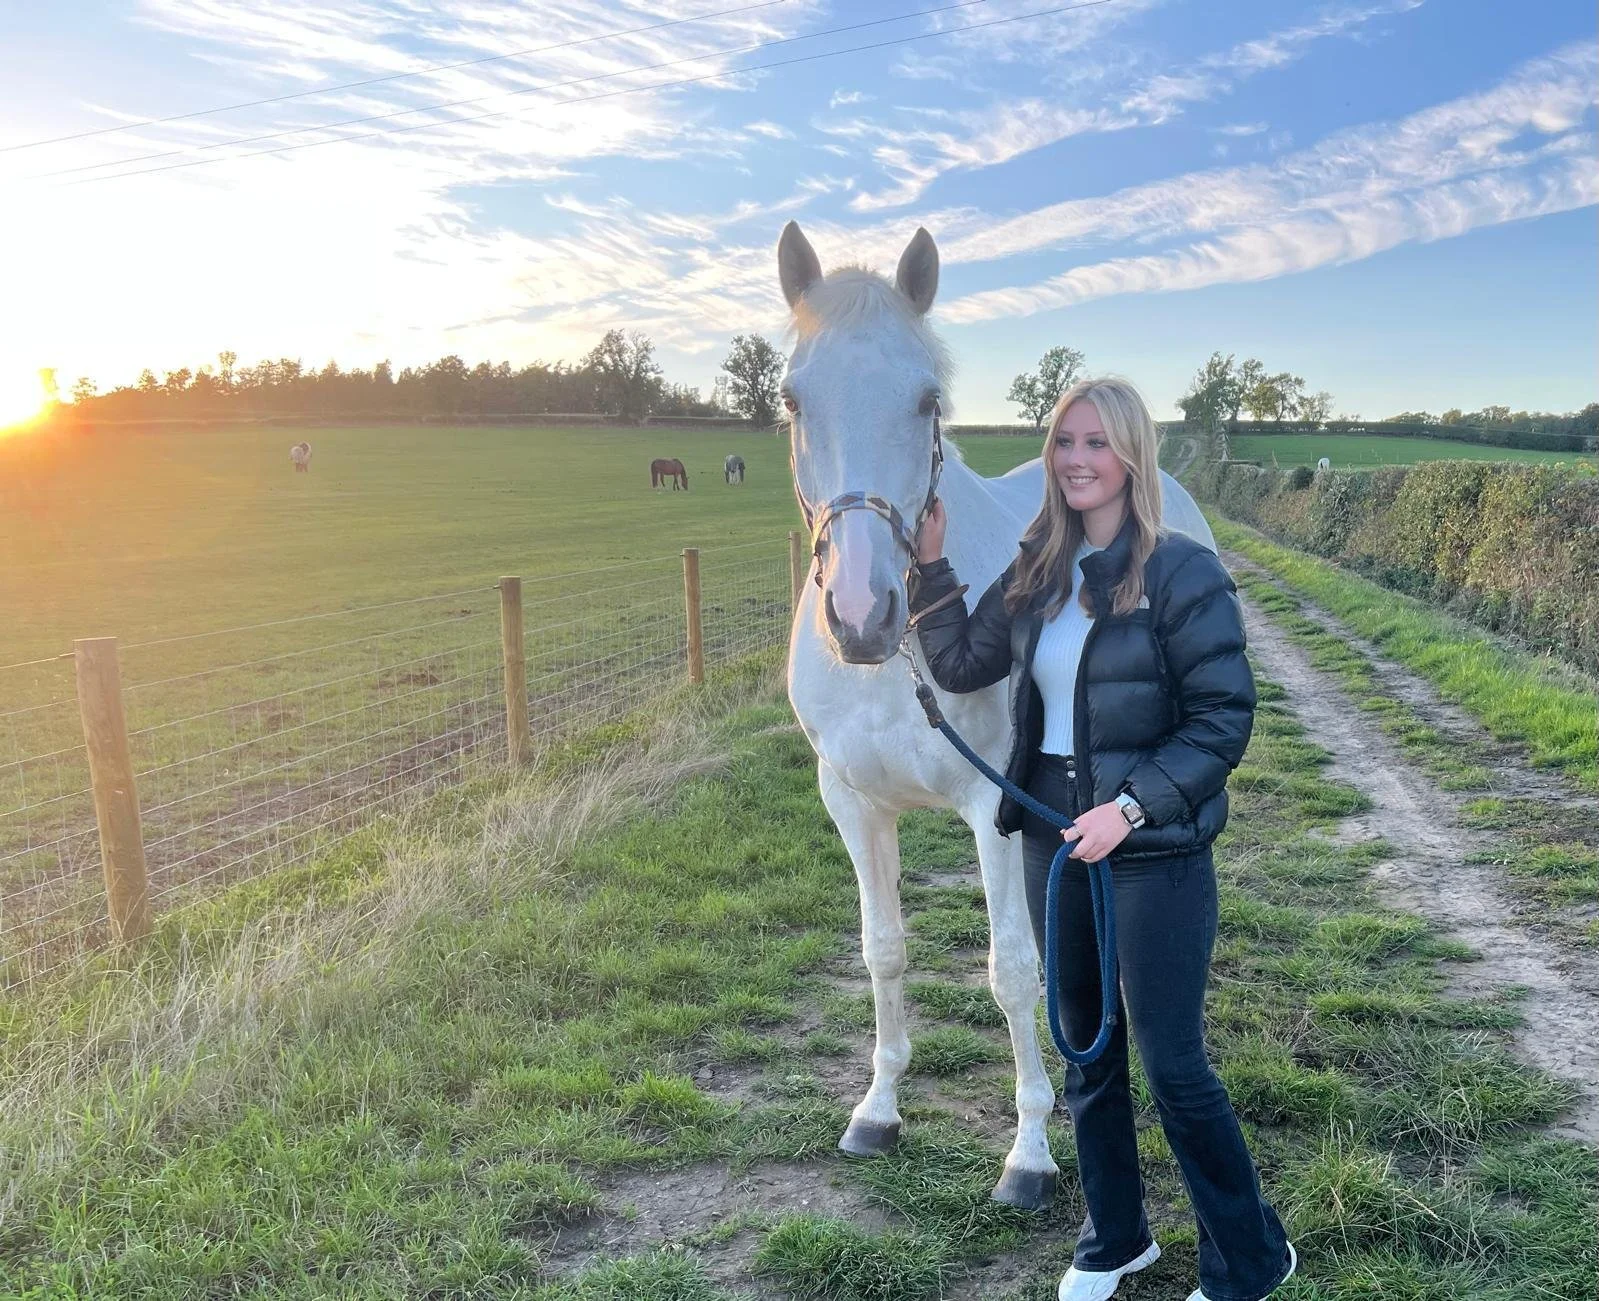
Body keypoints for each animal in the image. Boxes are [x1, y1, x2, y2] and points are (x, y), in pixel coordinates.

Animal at [778, 220, 1217, 1209]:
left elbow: (1013, 973)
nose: (862, 615)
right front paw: (878, 1108)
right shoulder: (849, 802)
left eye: (927, 399)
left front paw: (1030, 1152)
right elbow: (882, 949)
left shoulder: (997, 810)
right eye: (790, 398)